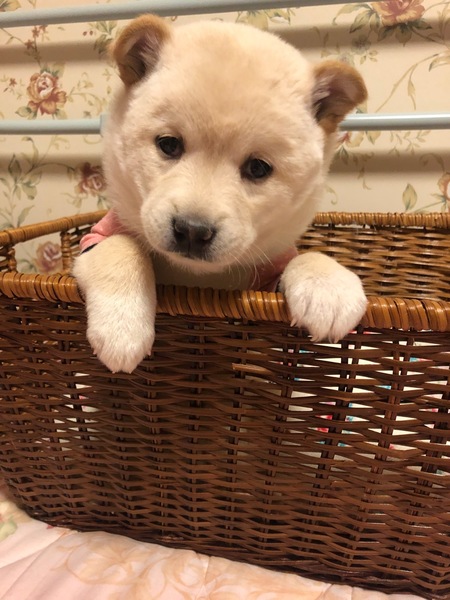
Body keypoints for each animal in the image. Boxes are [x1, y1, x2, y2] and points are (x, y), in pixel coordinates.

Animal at [73, 14, 368, 373]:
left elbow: (302, 257)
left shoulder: (269, 273)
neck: (197, 277)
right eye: (169, 144)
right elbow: (120, 246)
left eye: (257, 167)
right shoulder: (95, 239)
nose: (192, 230)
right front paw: (122, 328)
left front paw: (330, 289)